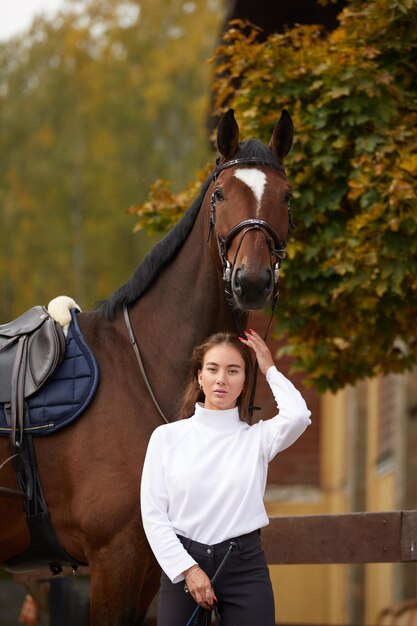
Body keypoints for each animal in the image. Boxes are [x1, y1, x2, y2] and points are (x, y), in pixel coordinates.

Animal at [0, 108, 292, 624]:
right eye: (220, 194)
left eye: (286, 195)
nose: (252, 281)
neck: (139, 372)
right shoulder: (114, 559)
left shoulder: (149, 567)